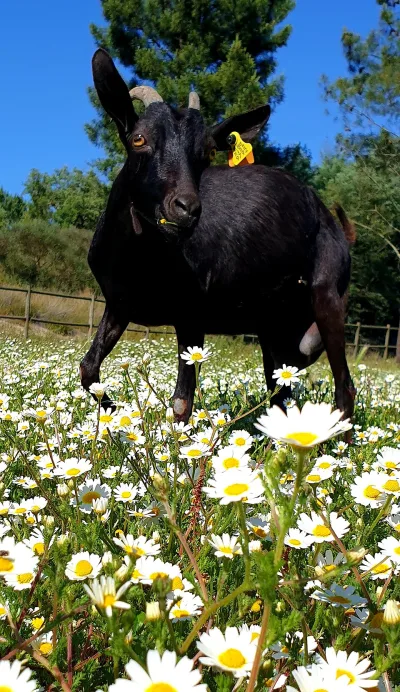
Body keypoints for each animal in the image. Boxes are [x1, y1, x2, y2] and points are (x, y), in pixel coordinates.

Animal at [80, 49, 356, 424]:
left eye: (209, 151)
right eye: (139, 139)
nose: (186, 208)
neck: (140, 257)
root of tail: (330, 219)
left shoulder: (191, 313)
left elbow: (182, 403)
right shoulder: (119, 305)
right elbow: (88, 370)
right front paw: (122, 417)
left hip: (326, 295)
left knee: (344, 388)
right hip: (273, 327)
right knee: (280, 392)